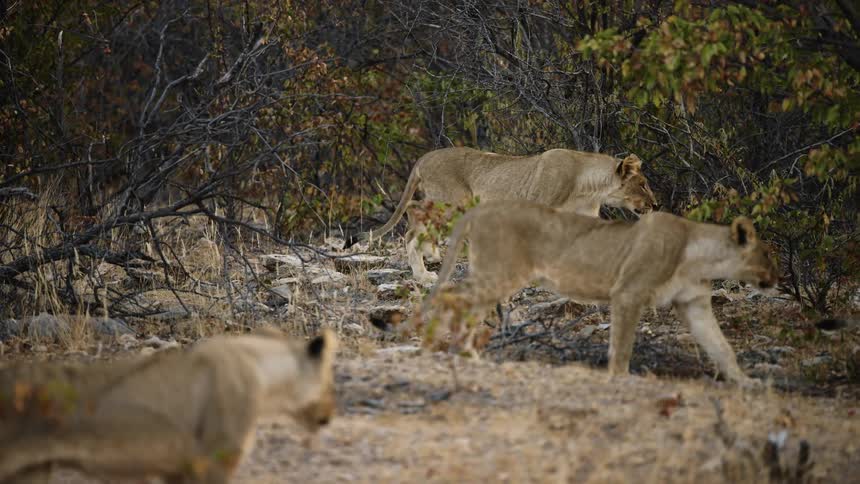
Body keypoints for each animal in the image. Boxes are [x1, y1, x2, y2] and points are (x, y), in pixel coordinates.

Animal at [352, 147, 657, 283]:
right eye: (643, 184)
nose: (655, 204)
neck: (588, 185)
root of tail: (424, 157)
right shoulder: (538, 207)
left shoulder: (587, 216)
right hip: (453, 202)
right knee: (412, 222)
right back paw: (423, 272)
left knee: (416, 218)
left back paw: (430, 258)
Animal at [407, 201, 778, 387]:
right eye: (767, 254)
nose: (778, 278)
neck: (700, 255)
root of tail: (480, 209)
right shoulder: (628, 292)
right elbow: (622, 344)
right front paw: (620, 378)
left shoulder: (694, 304)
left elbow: (721, 345)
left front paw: (746, 381)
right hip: (501, 273)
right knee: (451, 297)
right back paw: (446, 348)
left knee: (461, 302)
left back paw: (463, 352)